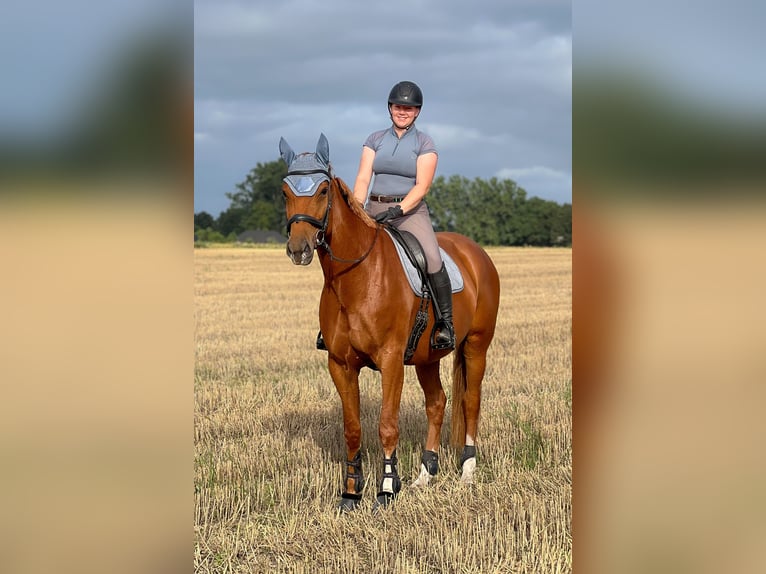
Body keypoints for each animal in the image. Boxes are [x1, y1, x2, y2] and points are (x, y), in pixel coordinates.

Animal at [279, 134, 500, 511]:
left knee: (471, 400)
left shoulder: (392, 361)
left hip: (476, 345)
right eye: (284, 192)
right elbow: (352, 428)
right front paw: (351, 493)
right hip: (427, 357)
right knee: (437, 403)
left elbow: (386, 424)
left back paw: (468, 471)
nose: (299, 248)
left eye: (322, 190)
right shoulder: (339, 364)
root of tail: (475, 252)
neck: (356, 278)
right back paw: (425, 475)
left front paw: (386, 489)